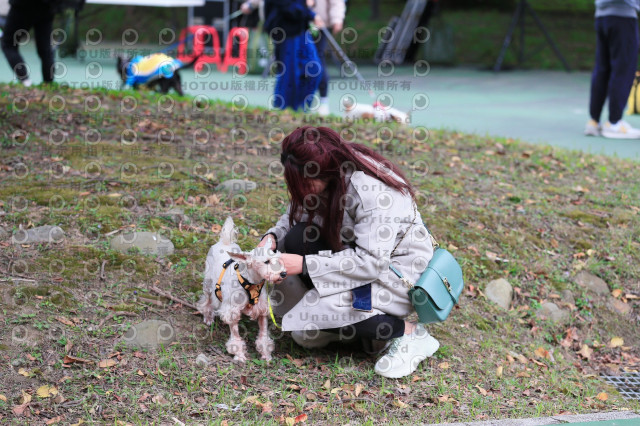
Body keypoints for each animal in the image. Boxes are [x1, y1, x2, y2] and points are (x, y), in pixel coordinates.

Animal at [197, 217, 280, 362]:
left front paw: (266, 354)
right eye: (266, 262)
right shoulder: (232, 311)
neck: (251, 282)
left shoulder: (262, 309)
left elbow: (263, 333)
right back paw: (208, 317)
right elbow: (235, 336)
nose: (283, 273)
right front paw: (240, 355)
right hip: (207, 283)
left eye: (279, 259)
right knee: (206, 300)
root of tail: (225, 242)